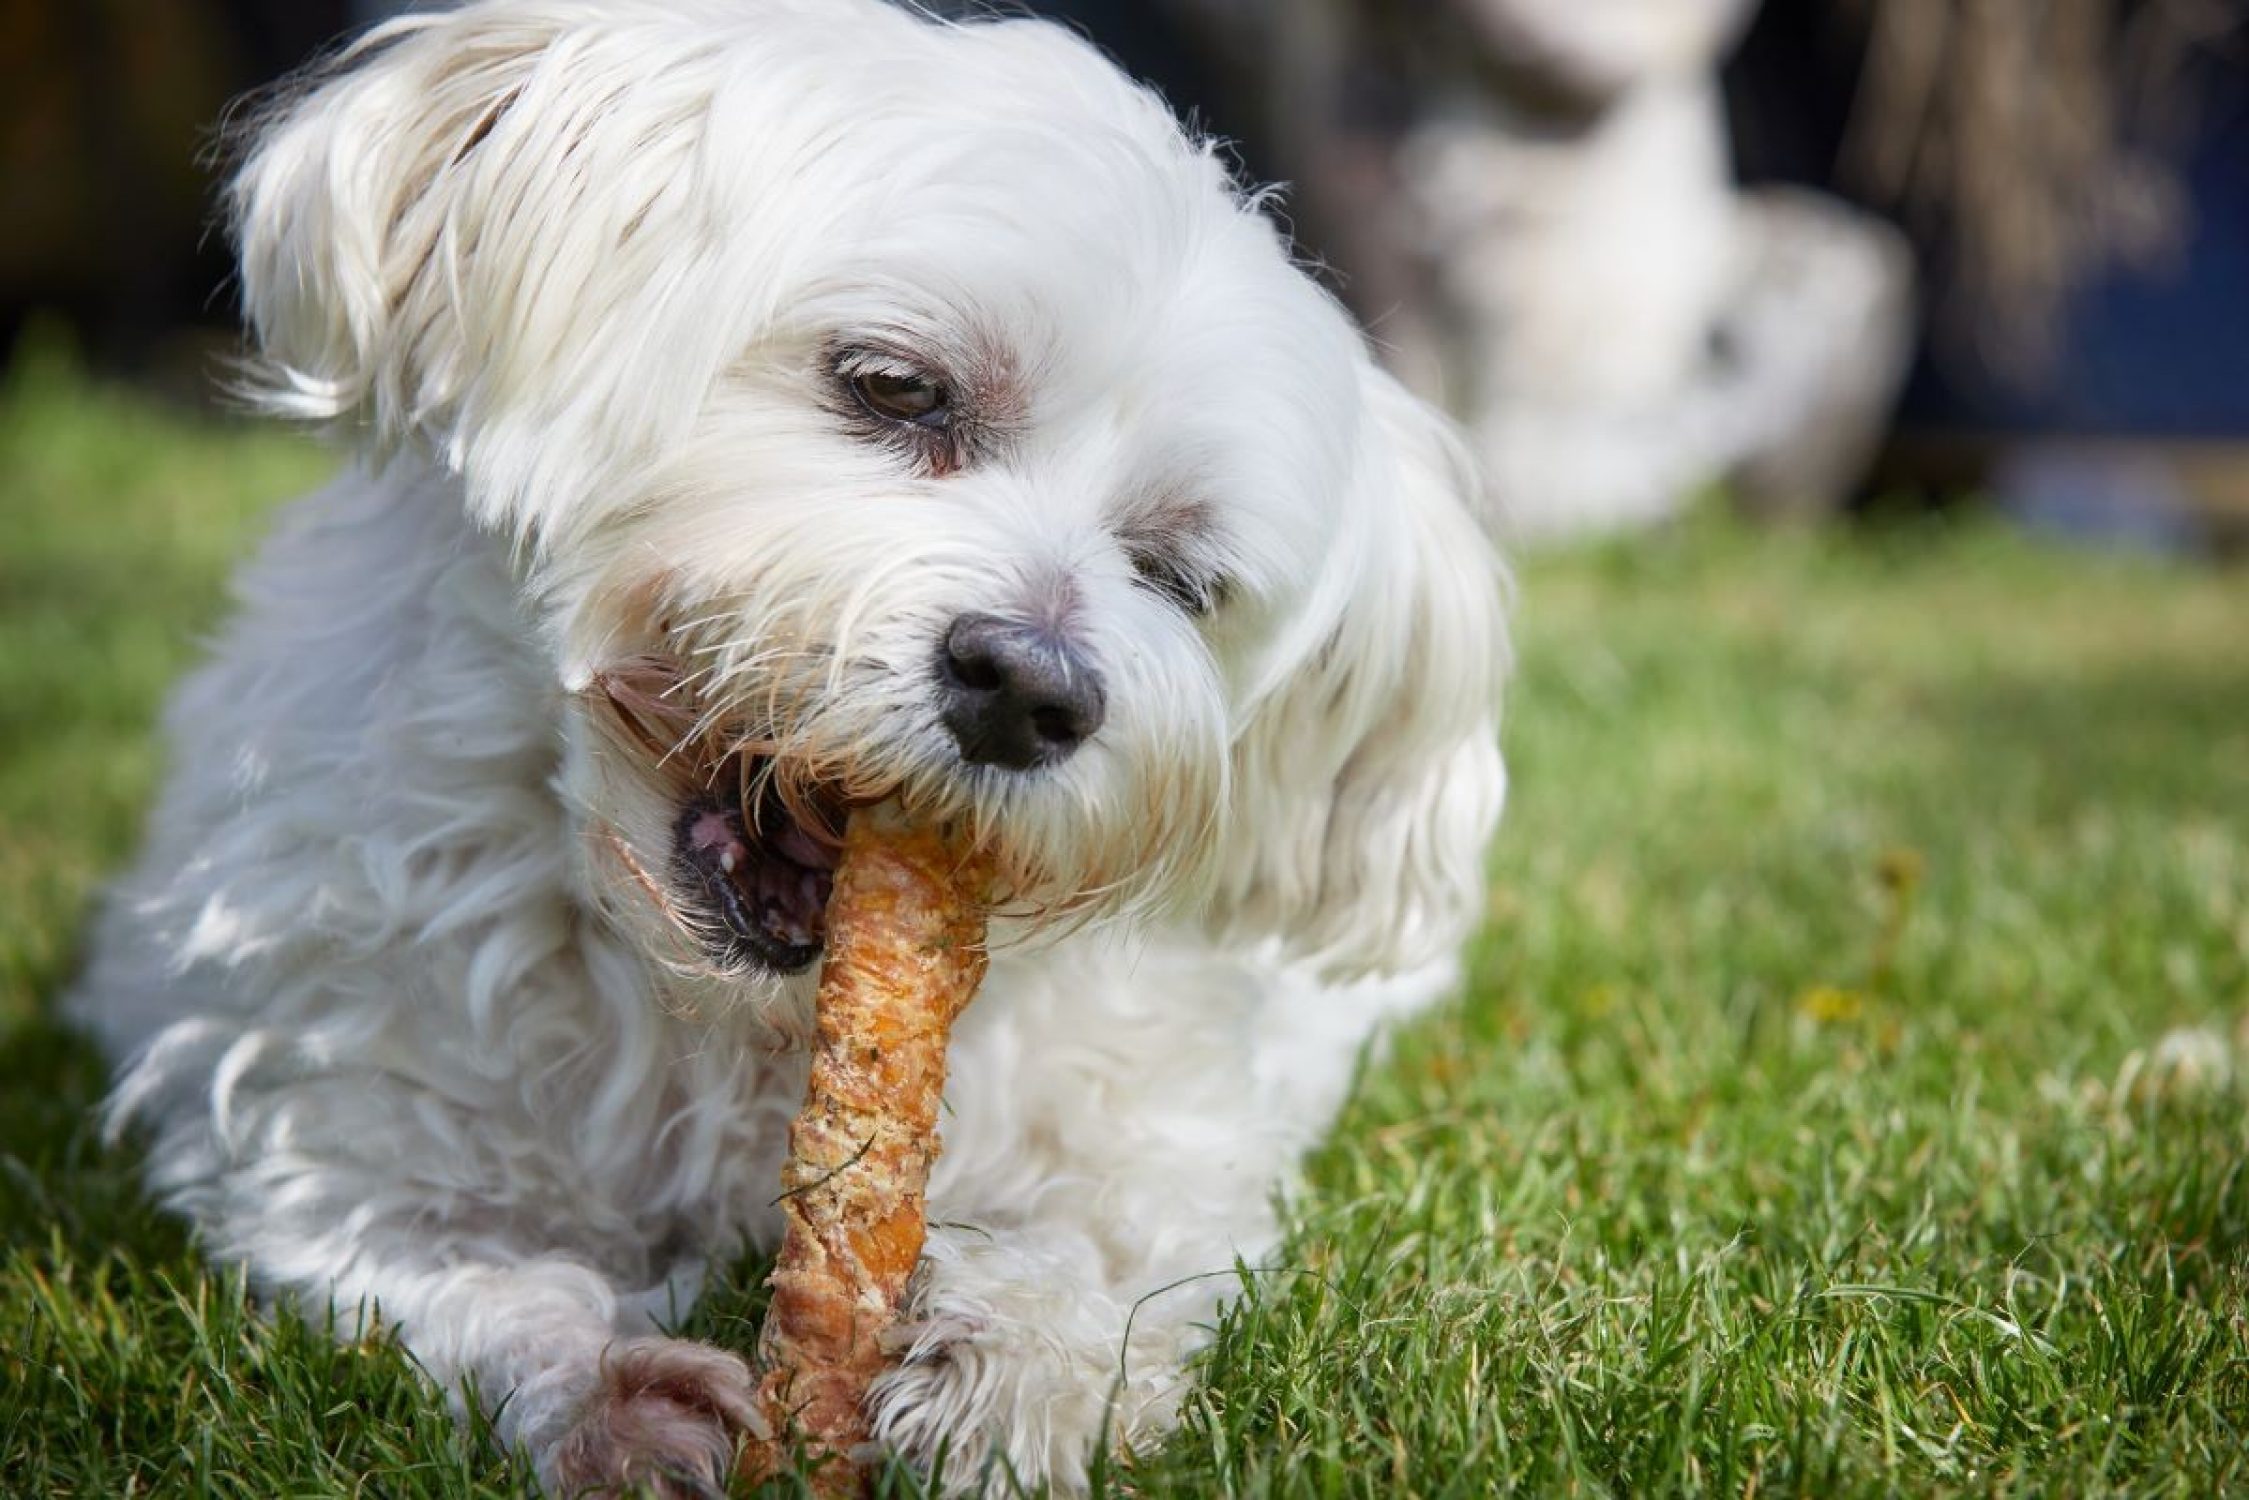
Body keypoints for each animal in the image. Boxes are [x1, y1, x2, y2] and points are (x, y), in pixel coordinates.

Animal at [70, 5, 1511, 1493]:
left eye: (1182, 577)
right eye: (895, 389)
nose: (1027, 688)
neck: (722, 1022)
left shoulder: (1165, 1139)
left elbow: (1108, 1248)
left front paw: (1019, 1367)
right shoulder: (336, 1140)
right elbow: (449, 1281)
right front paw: (610, 1402)